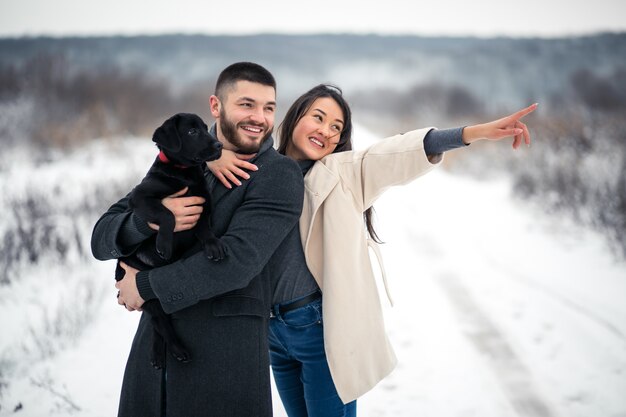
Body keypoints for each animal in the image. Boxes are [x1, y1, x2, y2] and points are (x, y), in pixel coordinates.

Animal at [116, 111, 225, 368]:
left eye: (205, 127)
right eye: (192, 131)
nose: (219, 145)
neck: (185, 173)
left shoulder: (203, 204)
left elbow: (205, 230)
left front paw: (213, 246)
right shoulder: (140, 197)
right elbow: (167, 214)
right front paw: (163, 245)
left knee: (159, 325)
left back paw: (158, 354)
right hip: (145, 292)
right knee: (162, 325)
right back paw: (177, 350)